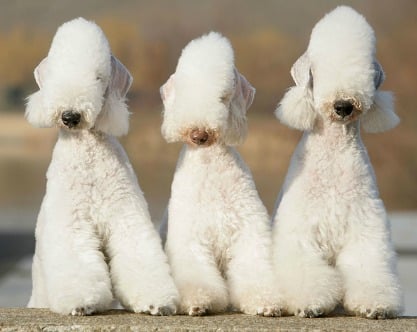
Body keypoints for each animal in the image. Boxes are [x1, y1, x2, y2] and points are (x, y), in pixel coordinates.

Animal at [24, 18, 177, 316]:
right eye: (57, 75)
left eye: (98, 77)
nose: (70, 116)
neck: (89, 154)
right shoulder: (72, 220)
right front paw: (81, 302)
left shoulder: (126, 214)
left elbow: (139, 254)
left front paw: (157, 300)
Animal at [272, 6, 402, 320]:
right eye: (317, 71)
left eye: (365, 72)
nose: (343, 105)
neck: (334, 151)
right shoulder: (301, 229)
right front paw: (310, 304)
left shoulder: (365, 227)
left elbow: (368, 267)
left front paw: (375, 305)